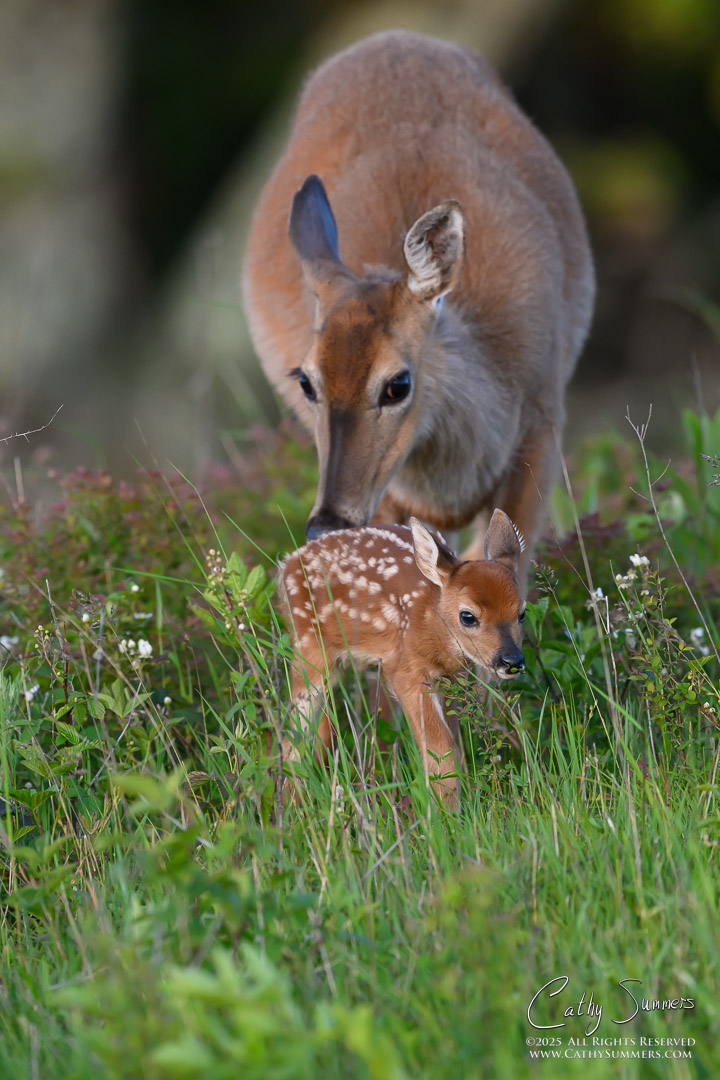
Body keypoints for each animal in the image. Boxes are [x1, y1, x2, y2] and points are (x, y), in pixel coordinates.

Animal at [243, 30, 595, 591]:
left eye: (397, 384)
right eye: (305, 381)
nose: (327, 523)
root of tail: (391, 37)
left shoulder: (544, 414)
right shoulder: (389, 493)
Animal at [279, 508, 526, 809]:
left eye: (522, 613)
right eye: (468, 616)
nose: (511, 660)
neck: (430, 624)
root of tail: (287, 564)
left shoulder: (453, 676)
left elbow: (455, 744)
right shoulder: (404, 669)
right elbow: (440, 748)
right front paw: (445, 814)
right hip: (309, 647)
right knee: (294, 734)